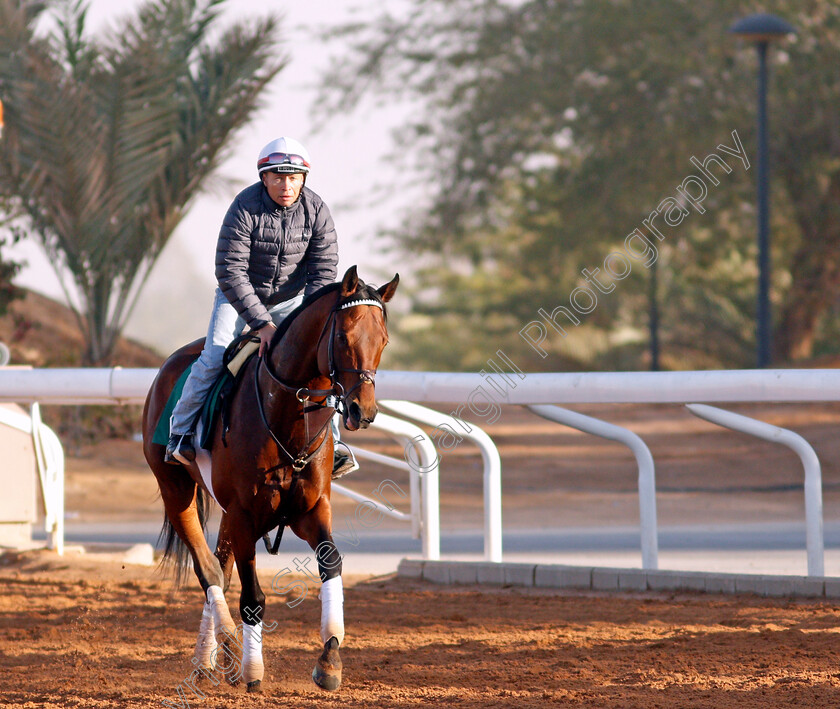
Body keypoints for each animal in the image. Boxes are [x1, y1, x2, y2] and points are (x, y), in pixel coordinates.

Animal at [140, 266, 398, 692]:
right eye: (343, 336)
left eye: (383, 340)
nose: (363, 410)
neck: (287, 417)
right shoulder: (245, 515)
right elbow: (253, 598)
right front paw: (253, 671)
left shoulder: (310, 508)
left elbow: (331, 563)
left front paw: (329, 660)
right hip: (175, 490)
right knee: (208, 571)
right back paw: (227, 650)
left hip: (228, 515)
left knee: (220, 570)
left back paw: (209, 660)